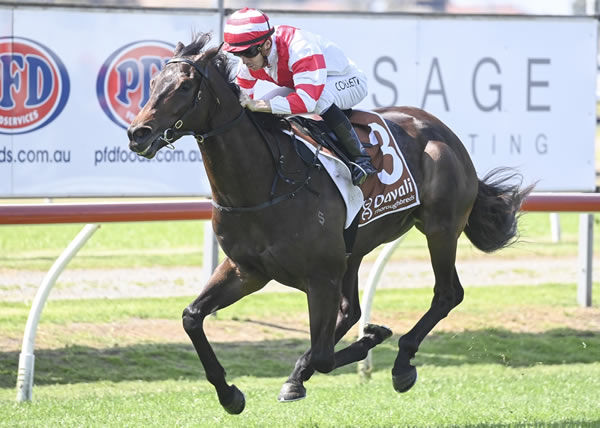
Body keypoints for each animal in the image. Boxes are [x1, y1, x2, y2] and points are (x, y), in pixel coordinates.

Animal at [127, 34, 536, 414]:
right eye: (152, 82)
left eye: (183, 86)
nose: (138, 133)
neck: (266, 182)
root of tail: (443, 131)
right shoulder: (247, 270)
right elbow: (192, 317)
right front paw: (230, 394)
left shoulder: (319, 276)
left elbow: (323, 355)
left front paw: (367, 341)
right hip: (353, 250)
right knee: (350, 309)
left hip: (440, 228)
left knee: (447, 294)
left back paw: (402, 362)